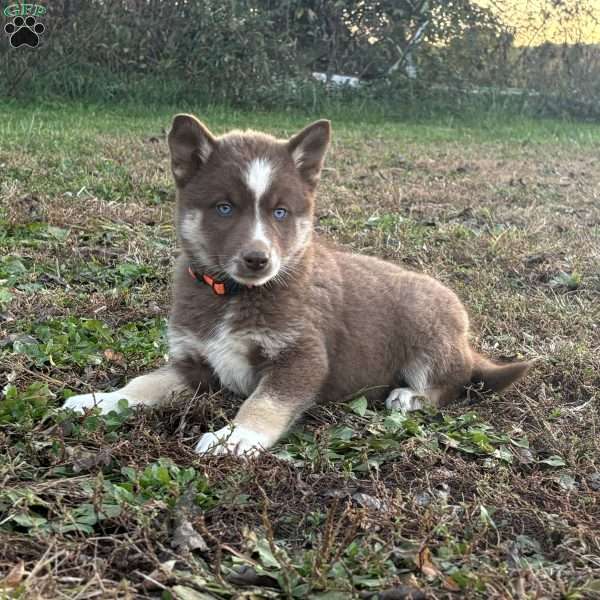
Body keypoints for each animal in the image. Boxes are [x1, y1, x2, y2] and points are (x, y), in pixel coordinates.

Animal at [63, 116, 532, 454]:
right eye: (224, 208)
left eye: (281, 212)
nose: (258, 259)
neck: (234, 294)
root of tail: (465, 341)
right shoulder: (192, 362)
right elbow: (142, 384)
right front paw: (99, 400)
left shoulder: (301, 358)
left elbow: (264, 402)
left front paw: (236, 437)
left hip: (428, 332)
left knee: (451, 385)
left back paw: (407, 397)